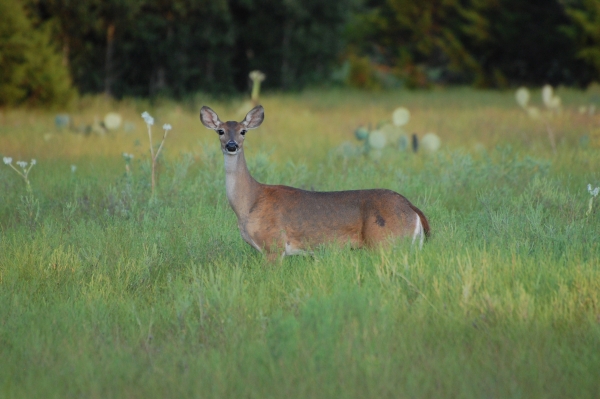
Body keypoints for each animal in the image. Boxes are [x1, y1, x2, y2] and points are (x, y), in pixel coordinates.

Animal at [202, 105, 432, 262]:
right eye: (220, 131)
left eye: (243, 131)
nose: (232, 145)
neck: (249, 203)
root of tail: (412, 209)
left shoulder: (274, 245)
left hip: (386, 242)